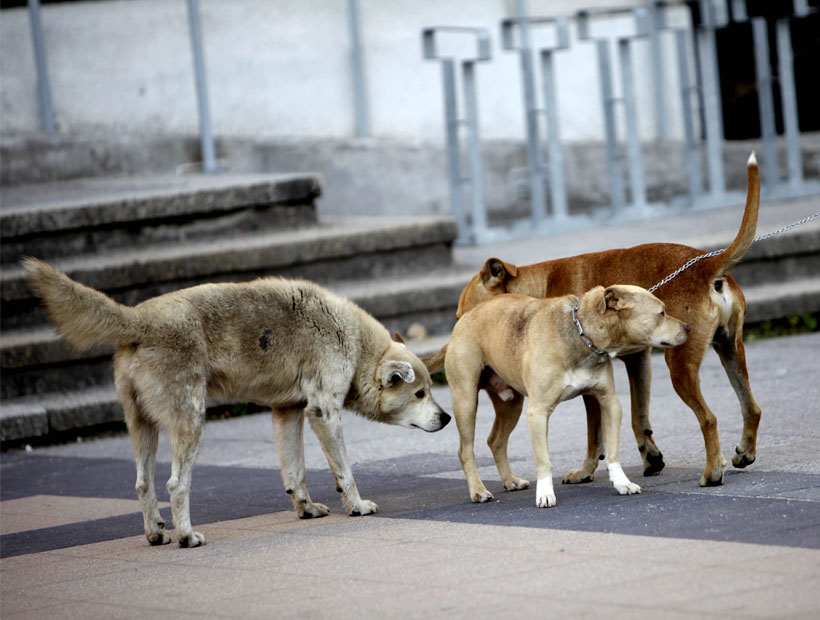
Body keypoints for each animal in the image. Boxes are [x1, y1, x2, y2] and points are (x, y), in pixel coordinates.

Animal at [24, 260, 448, 548]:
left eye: (430, 390)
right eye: (420, 394)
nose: (445, 418)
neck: (354, 342)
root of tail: (138, 318)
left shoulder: (287, 412)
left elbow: (295, 473)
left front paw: (306, 509)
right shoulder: (324, 412)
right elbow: (344, 471)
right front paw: (356, 506)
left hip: (143, 426)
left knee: (144, 483)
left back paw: (157, 534)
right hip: (191, 421)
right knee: (176, 484)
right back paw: (187, 536)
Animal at [446, 284, 688, 506]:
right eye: (661, 313)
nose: (688, 327)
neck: (583, 334)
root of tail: (465, 315)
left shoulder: (610, 403)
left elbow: (612, 452)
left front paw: (622, 483)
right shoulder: (538, 412)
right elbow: (544, 460)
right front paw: (545, 494)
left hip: (511, 406)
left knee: (496, 441)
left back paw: (510, 481)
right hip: (466, 402)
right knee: (465, 450)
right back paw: (478, 490)